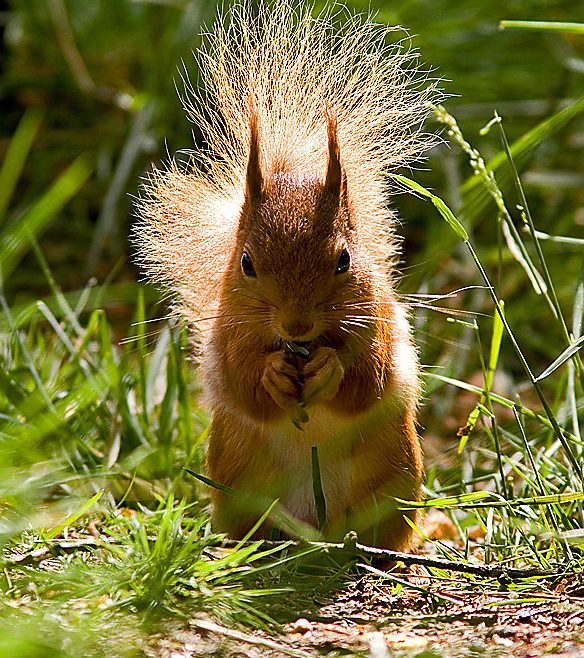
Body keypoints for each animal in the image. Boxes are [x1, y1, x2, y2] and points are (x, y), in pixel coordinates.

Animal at [135, 1, 435, 551]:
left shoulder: (379, 322)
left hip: (395, 481)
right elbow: (242, 382)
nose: (296, 327)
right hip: (235, 483)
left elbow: (369, 380)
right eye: (247, 263)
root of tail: (317, 532)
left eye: (343, 260)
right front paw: (273, 374)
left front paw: (331, 369)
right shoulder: (228, 334)